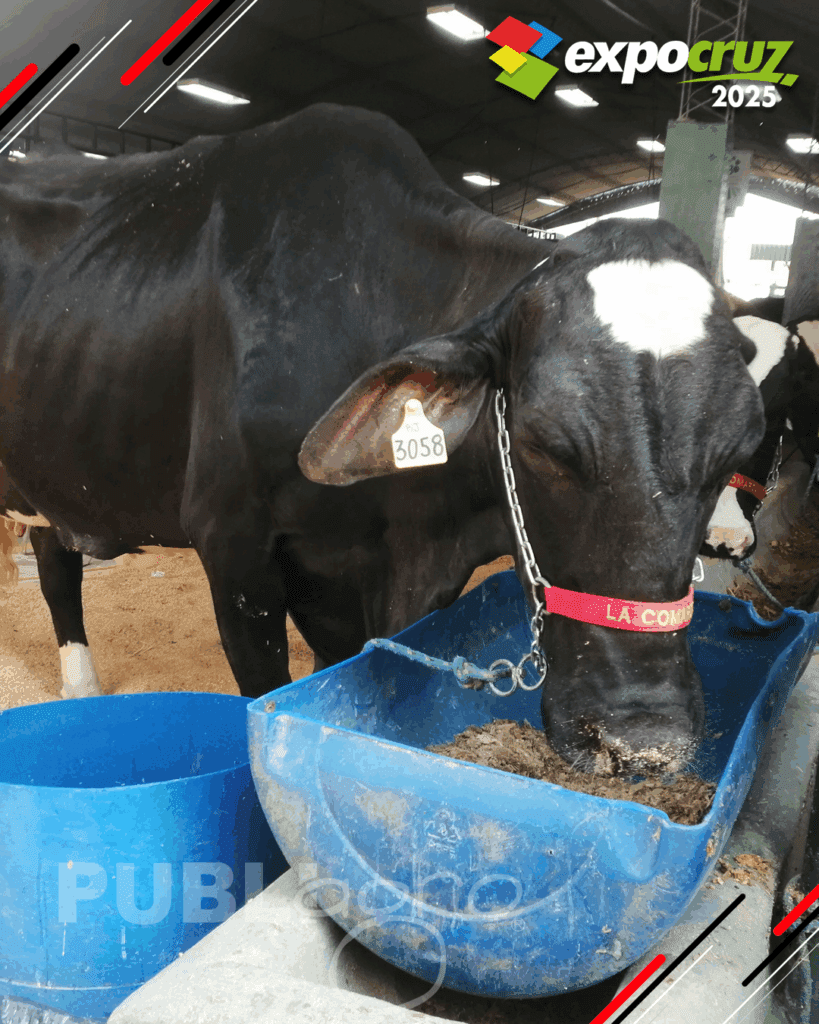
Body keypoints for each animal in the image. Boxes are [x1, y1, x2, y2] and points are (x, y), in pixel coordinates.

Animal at [0, 104, 763, 776]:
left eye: (739, 448)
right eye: (541, 442)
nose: (643, 741)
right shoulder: (232, 545)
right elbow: (264, 694)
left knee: (56, 557)